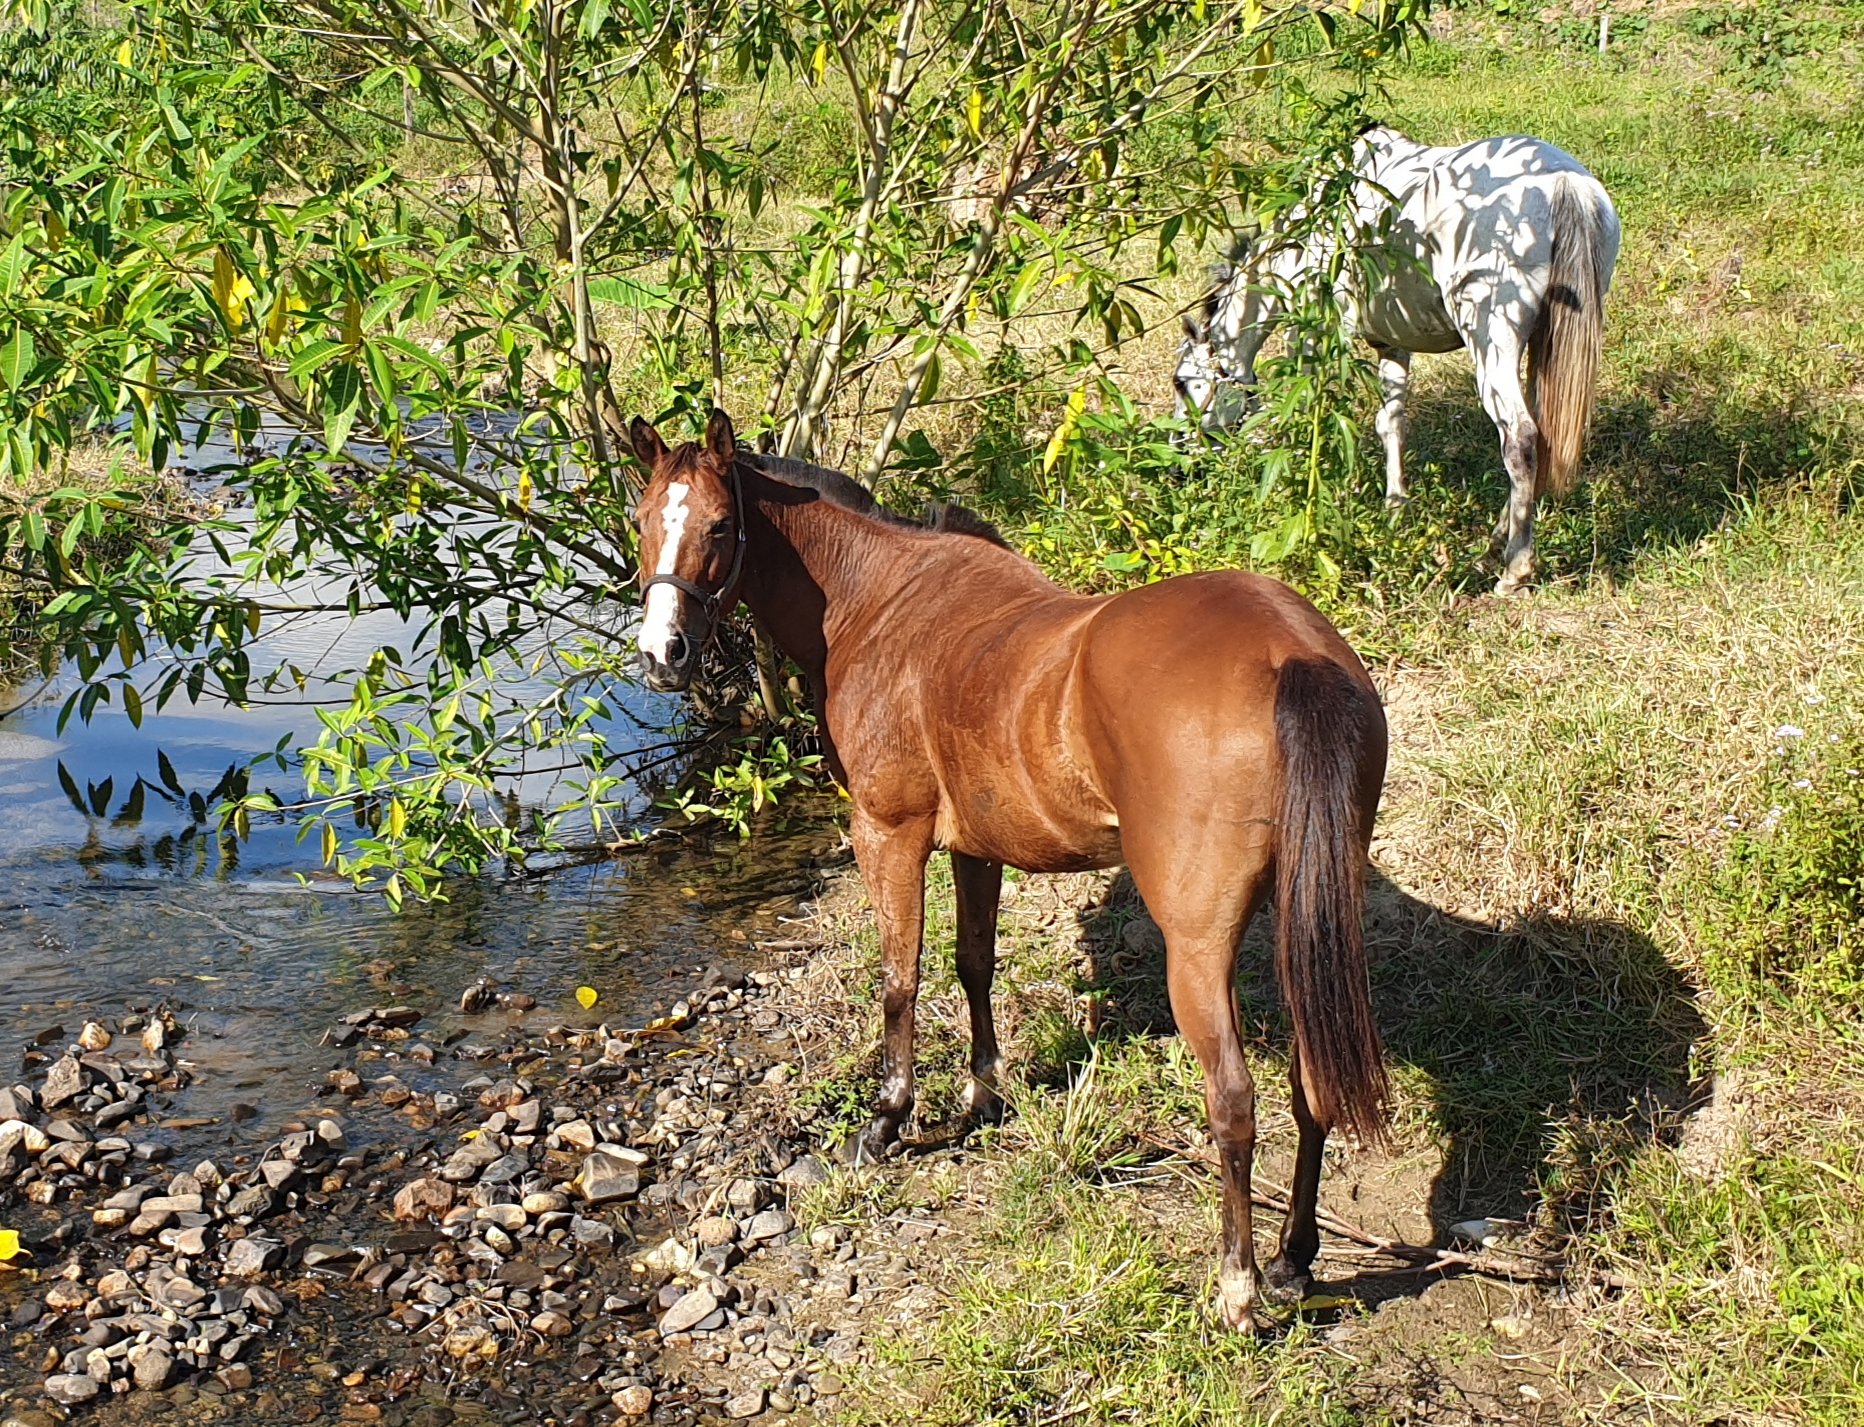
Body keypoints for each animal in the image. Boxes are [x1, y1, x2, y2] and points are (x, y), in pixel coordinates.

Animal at [628, 407, 1390, 1332]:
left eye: (718, 526)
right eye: (641, 520)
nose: (664, 652)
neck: (878, 602)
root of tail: (1289, 653)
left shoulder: (888, 833)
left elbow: (901, 980)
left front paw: (889, 1119)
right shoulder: (974, 848)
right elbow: (973, 963)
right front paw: (981, 1095)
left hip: (1199, 944)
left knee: (1234, 1102)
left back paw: (1237, 1286)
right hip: (1302, 915)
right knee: (1312, 1081)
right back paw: (1289, 1260)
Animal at [1174, 124, 1621, 595]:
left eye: (1181, 382)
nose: (1182, 464)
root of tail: (1563, 183)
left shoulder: (1315, 333)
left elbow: (1304, 414)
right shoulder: (1391, 344)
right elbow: (1390, 424)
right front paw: (1394, 511)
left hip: (1492, 342)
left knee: (1519, 437)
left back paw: (1515, 568)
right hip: (1543, 345)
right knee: (1541, 436)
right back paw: (1496, 541)